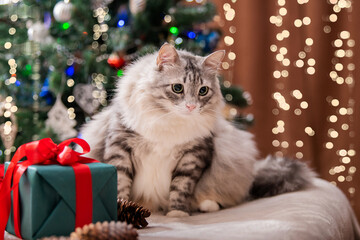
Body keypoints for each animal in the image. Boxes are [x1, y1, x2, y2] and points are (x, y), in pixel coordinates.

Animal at [79, 43, 316, 218]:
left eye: (203, 91)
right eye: (177, 88)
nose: (191, 106)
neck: (169, 123)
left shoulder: (193, 155)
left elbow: (180, 187)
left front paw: (177, 213)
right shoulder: (120, 148)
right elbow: (121, 184)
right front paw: (123, 209)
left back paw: (207, 205)